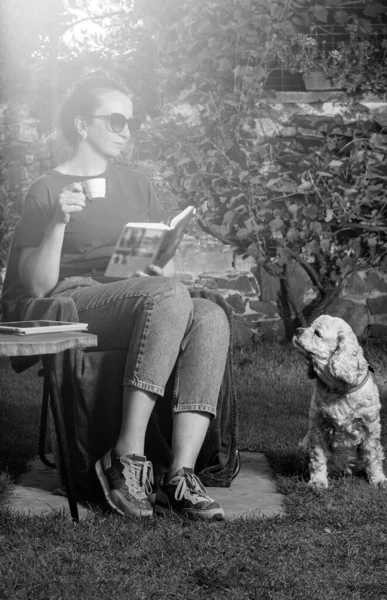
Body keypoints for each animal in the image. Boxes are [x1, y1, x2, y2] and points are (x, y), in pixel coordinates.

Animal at [296, 314, 386, 488]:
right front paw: (318, 481)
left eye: (317, 333)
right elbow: (317, 457)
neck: (338, 389)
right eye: (309, 325)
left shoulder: (370, 427)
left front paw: (378, 479)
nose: (297, 330)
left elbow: (373, 456)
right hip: (304, 443)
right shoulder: (318, 427)